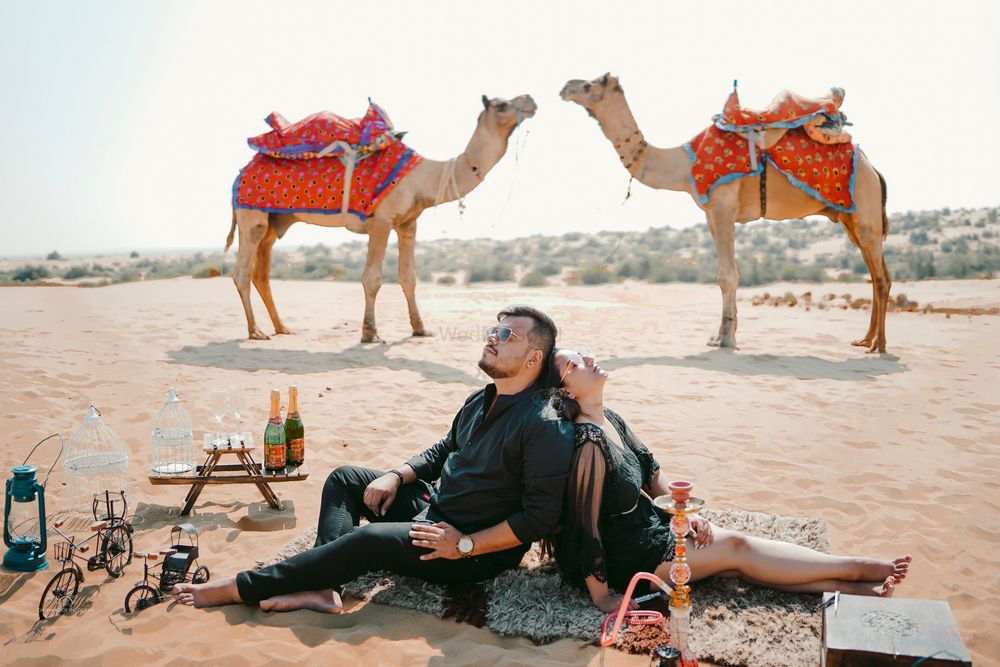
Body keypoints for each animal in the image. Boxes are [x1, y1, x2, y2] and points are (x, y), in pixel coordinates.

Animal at [228, 94, 540, 342]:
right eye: (502, 105)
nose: (530, 100)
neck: (424, 178)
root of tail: (241, 172)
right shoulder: (381, 221)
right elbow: (372, 279)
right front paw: (370, 333)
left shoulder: (408, 223)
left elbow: (409, 278)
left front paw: (420, 329)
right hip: (251, 215)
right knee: (243, 271)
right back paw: (256, 331)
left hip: (276, 221)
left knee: (262, 272)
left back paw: (282, 328)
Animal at [564, 73, 892, 354]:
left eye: (591, 84)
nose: (566, 87)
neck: (684, 163)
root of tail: (874, 170)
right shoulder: (711, 213)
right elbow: (731, 272)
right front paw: (721, 335)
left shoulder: (723, 206)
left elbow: (726, 275)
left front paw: (725, 339)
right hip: (850, 219)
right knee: (877, 275)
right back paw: (865, 340)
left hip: (865, 210)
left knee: (881, 278)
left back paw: (879, 346)